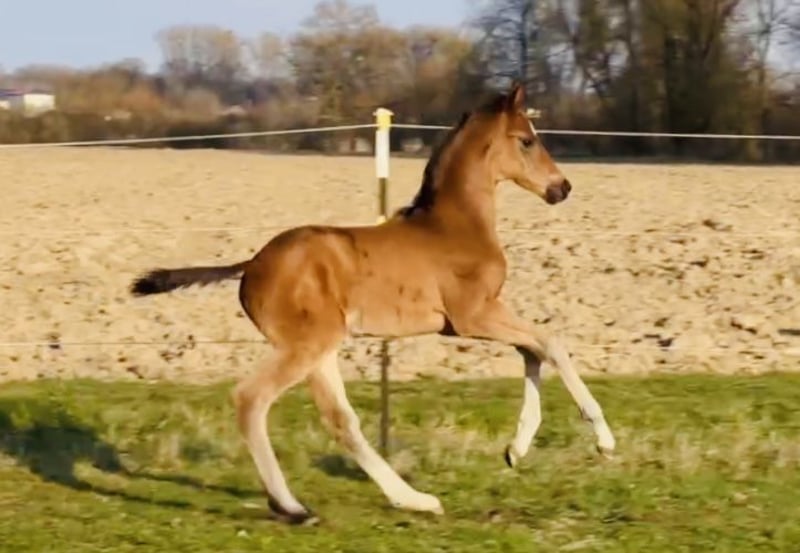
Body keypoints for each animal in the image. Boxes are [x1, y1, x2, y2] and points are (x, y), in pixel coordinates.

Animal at [130, 82, 616, 524]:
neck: (455, 226)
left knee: (340, 421)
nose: (562, 188)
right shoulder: (473, 315)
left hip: (321, 348)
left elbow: (531, 351)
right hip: (307, 345)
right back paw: (293, 507)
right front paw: (603, 440)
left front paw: (516, 450)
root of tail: (250, 266)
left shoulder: (478, 316)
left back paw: (413, 500)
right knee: (252, 400)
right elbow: (549, 344)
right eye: (527, 140)